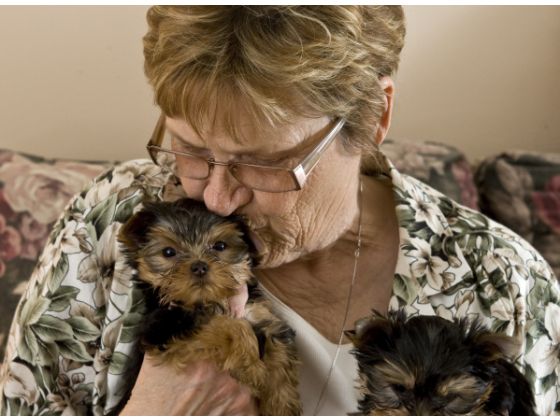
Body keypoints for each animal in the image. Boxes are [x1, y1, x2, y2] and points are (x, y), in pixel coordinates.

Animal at [118, 199, 302, 416]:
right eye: (168, 252)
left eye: (220, 246)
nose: (199, 266)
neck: (210, 300)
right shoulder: (164, 329)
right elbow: (228, 325)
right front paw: (251, 366)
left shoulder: (262, 316)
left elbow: (280, 355)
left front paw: (282, 406)